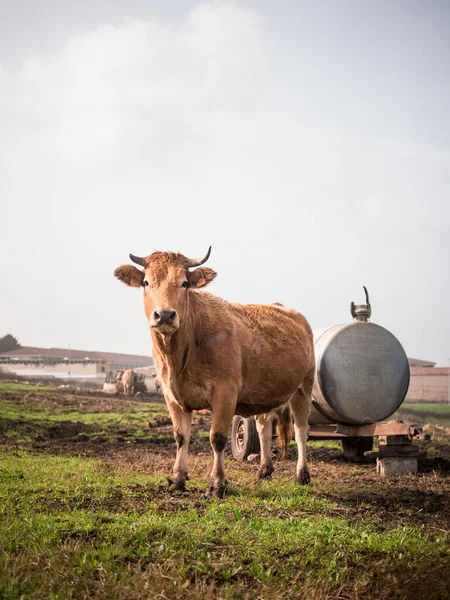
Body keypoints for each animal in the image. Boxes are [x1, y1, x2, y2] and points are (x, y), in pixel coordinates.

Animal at [114, 246, 314, 494]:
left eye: (184, 283)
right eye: (146, 282)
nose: (165, 315)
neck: (180, 358)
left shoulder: (225, 393)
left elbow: (217, 438)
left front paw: (217, 483)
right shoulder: (171, 396)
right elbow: (181, 437)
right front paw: (177, 478)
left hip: (304, 387)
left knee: (301, 431)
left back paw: (302, 475)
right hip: (265, 392)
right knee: (264, 427)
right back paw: (264, 469)